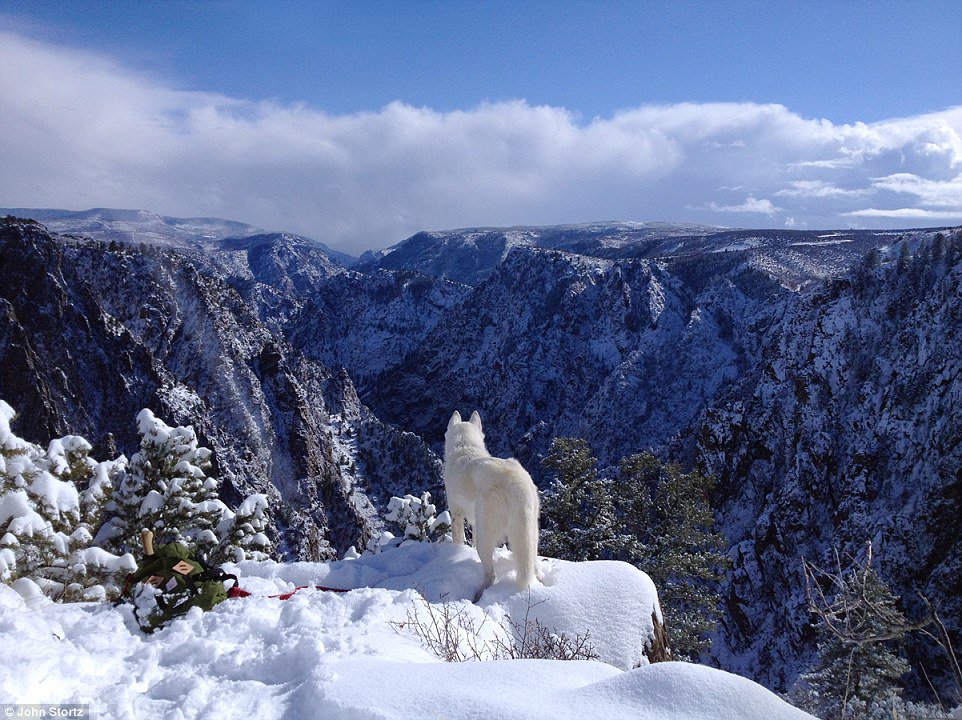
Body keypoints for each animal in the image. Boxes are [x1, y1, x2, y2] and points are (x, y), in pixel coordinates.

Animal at [442, 410, 540, 596]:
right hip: (530, 531)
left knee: (491, 574)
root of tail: (516, 482)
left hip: (486, 535)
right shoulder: (474, 521)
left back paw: (479, 594)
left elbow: (458, 539)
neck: (465, 445)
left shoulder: (456, 514)